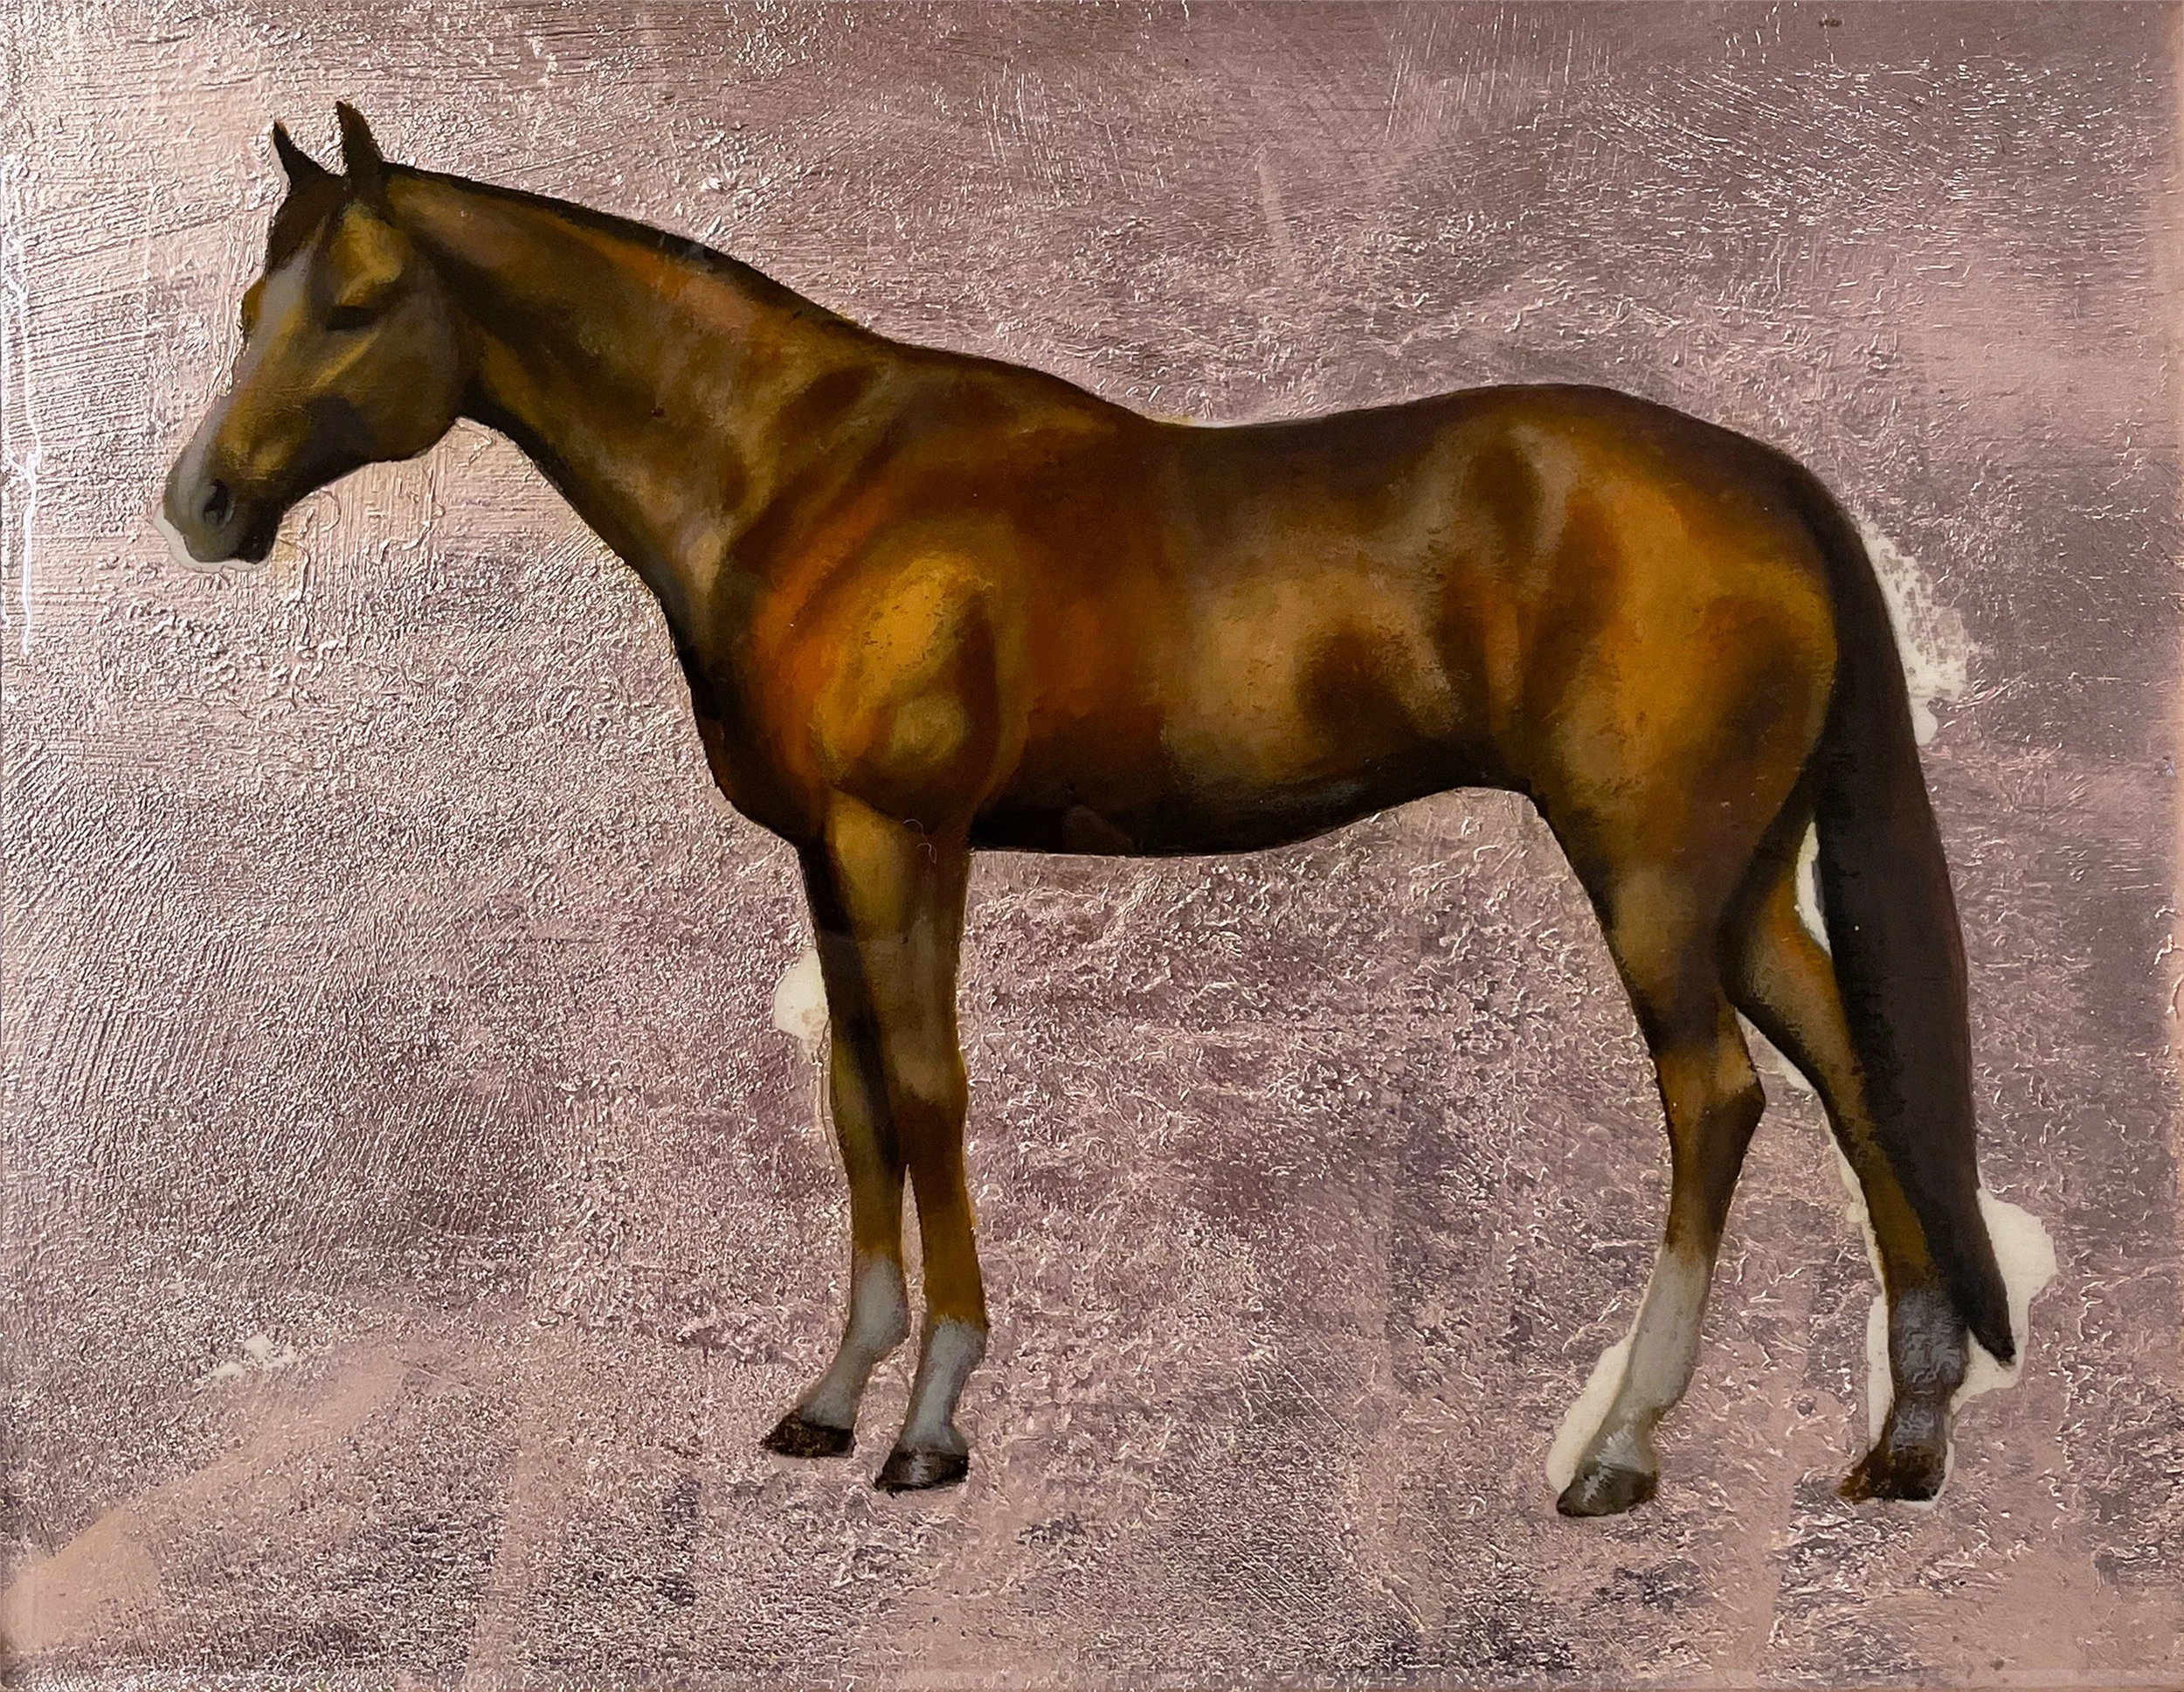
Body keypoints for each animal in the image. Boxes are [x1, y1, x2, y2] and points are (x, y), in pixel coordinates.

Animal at [159, 106, 2015, 1513]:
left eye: (355, 303)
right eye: (255, 297)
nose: (203, 502)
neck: (809, 476)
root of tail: (1761, 476)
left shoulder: (903, 835)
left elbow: (928, 1096)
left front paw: (931, 1420)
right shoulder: (827, 861)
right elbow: (852, 1104)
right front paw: (831, 1394)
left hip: (1650, 878)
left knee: (1718, 1099)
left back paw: (1621, 1446)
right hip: (1741, 880)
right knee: (1859, 1082)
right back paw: (1905, 1439)